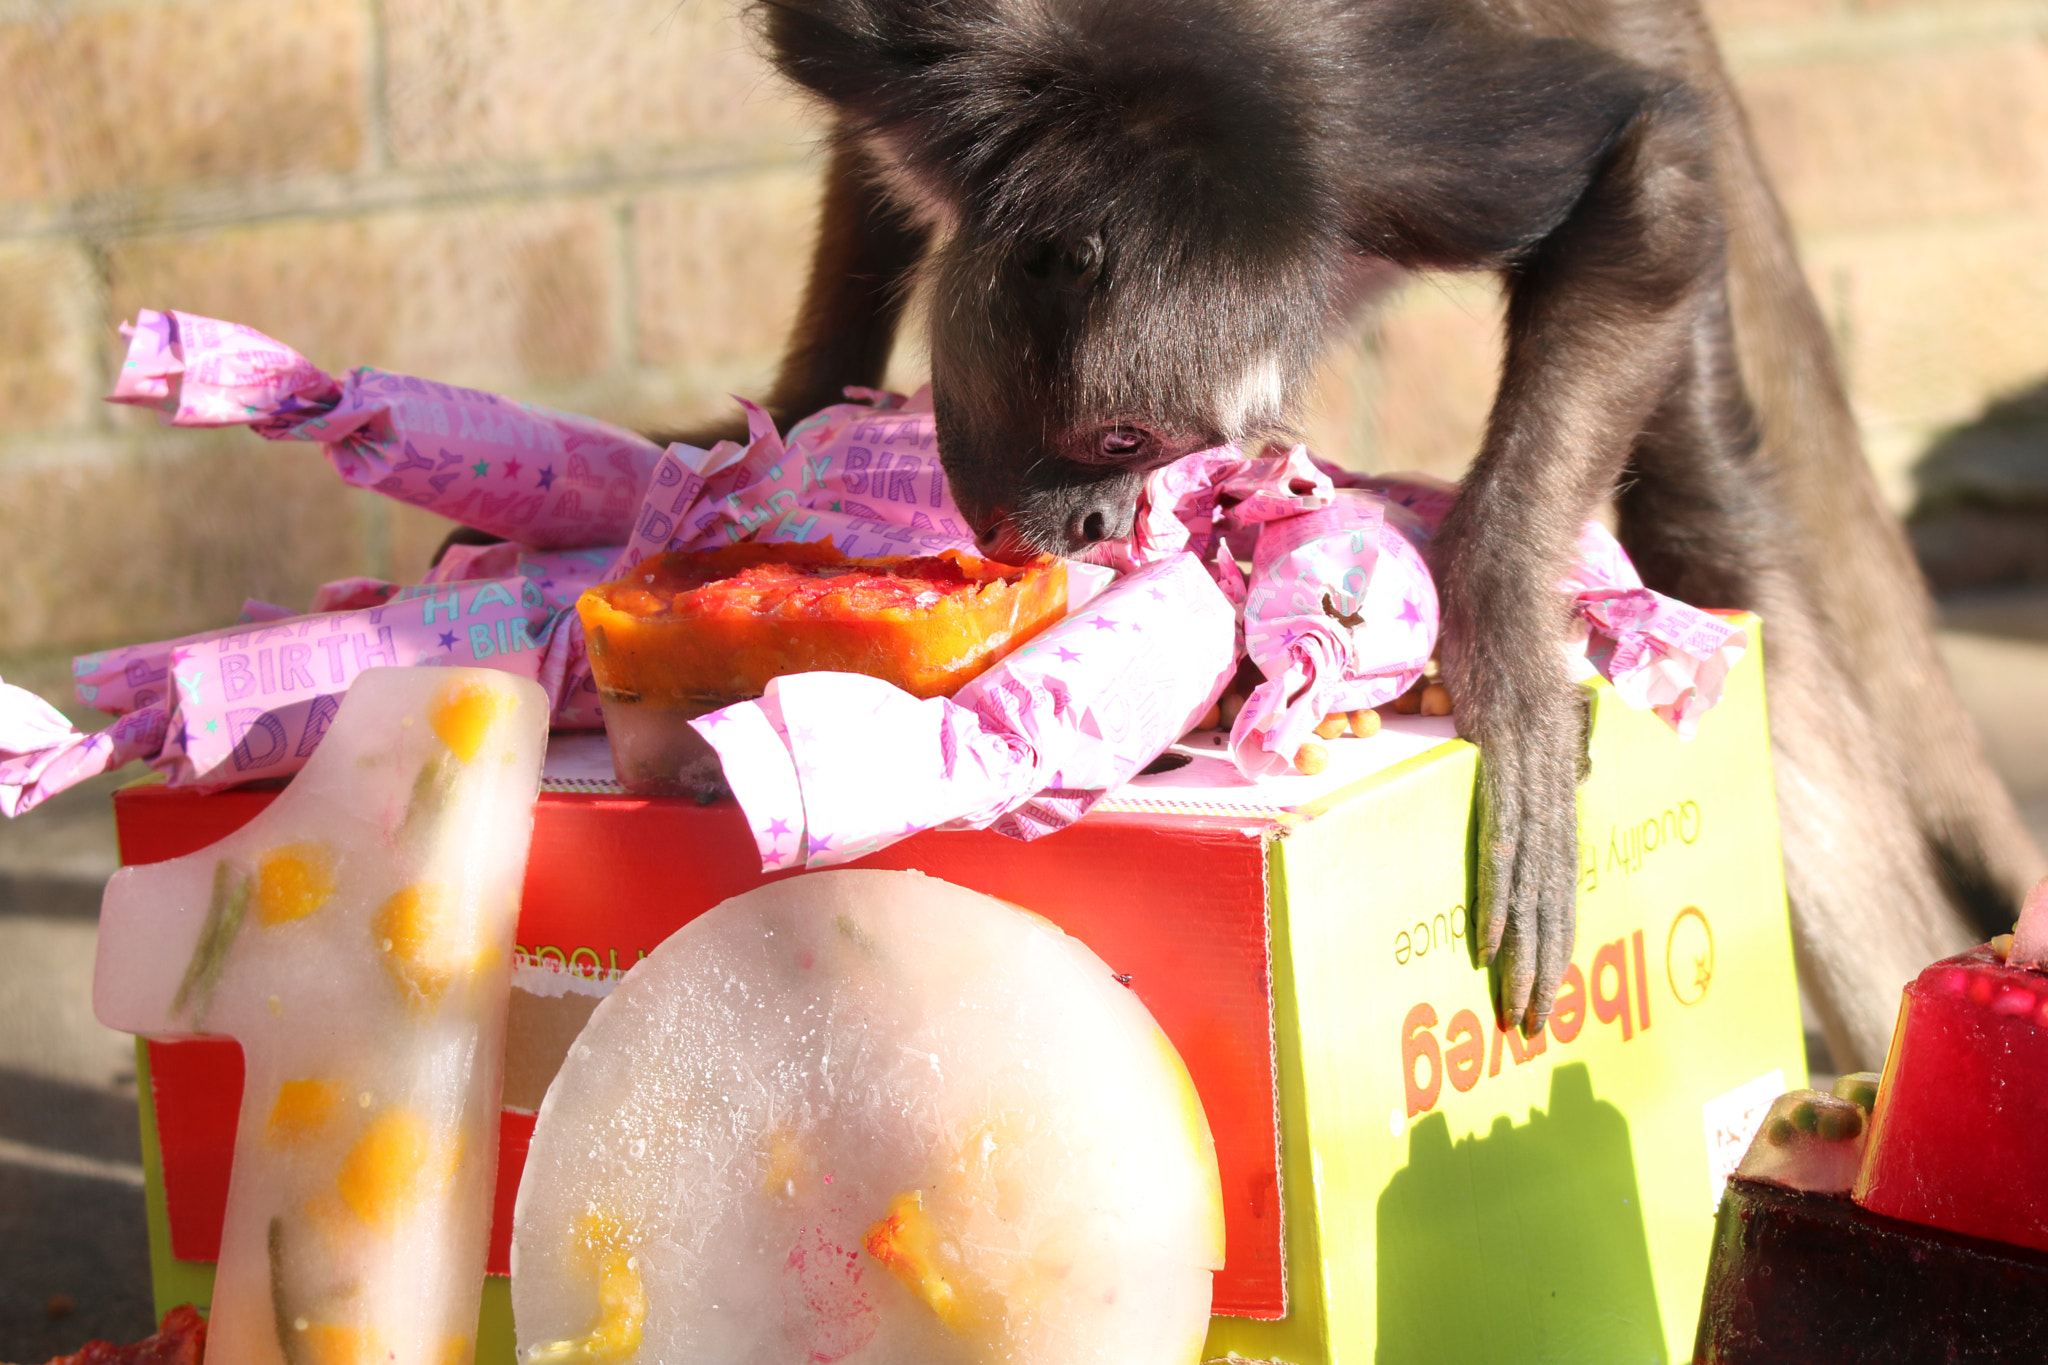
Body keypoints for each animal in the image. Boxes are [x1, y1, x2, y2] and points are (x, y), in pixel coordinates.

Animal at [624, 0, 2042, 1069]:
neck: (1114, 87)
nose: (1098, 520)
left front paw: (1504, 637)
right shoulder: (908, 49)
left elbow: (1642, 170)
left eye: (1144, 447)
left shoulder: (1360, 140)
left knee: (1712, 511)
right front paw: (801, 402)